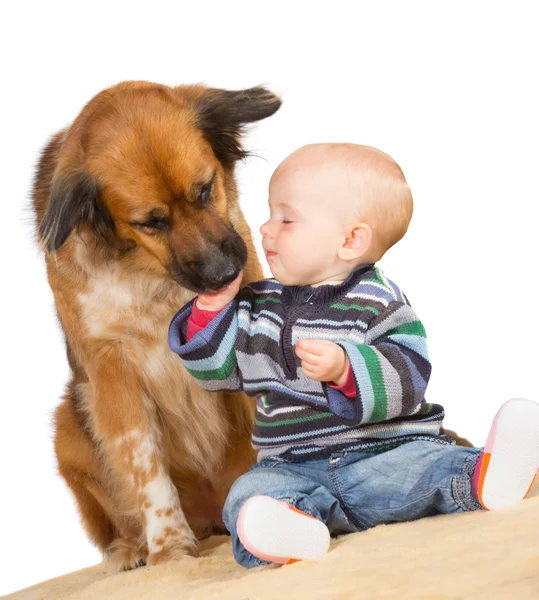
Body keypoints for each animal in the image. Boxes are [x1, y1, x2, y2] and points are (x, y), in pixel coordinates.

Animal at [32, 81, 282, 568]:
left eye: (205, 190)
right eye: (151, 222)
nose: (224, 274)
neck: (154, 278)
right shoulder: (112, 369)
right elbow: (142, 464)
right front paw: (169, 547)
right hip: (68, 425)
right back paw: (132, 550)